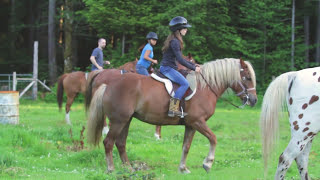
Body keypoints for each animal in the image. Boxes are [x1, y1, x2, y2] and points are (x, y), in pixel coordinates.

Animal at [87, 58, 258, 173]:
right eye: (248, 78)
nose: (254, 100)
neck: (205, 87)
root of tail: (109, 84)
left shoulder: (191, 125)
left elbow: (186, 146)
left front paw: (183, 168)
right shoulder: (198, 122)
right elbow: (213, 138)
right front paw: (208, 163)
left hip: (126, 120)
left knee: (120, 143)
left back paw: (129, 168)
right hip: (118, 121)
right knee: (108, 142)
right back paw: (111, 169)